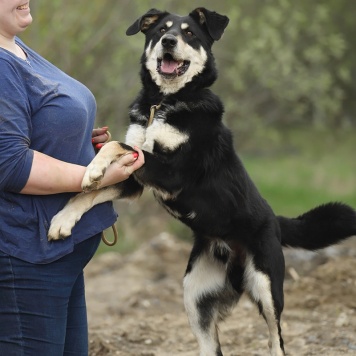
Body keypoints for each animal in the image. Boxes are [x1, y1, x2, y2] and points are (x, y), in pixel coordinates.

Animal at [48, 8, 356, 356]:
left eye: (189, 33)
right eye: (161, 30)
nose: (169, 42)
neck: (163, 102)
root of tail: (275, 220)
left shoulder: (171, 172)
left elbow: (116, 146)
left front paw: (92, 170)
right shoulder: (135, 180)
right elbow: (90, 191)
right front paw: (64, 218)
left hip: (266, 286)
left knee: (275, 340)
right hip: (195, 298)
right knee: (212, 346)